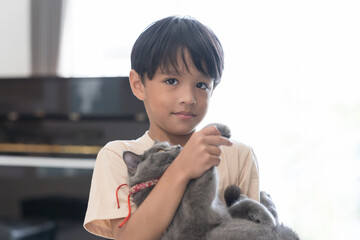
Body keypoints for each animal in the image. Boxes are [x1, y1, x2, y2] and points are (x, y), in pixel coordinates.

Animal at [122, 124, 300, 239]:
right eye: (160, 150)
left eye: (170, 144)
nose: (179, 146)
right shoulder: (197, 207)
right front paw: (218, 129)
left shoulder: (224, 213)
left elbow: (241, 206)